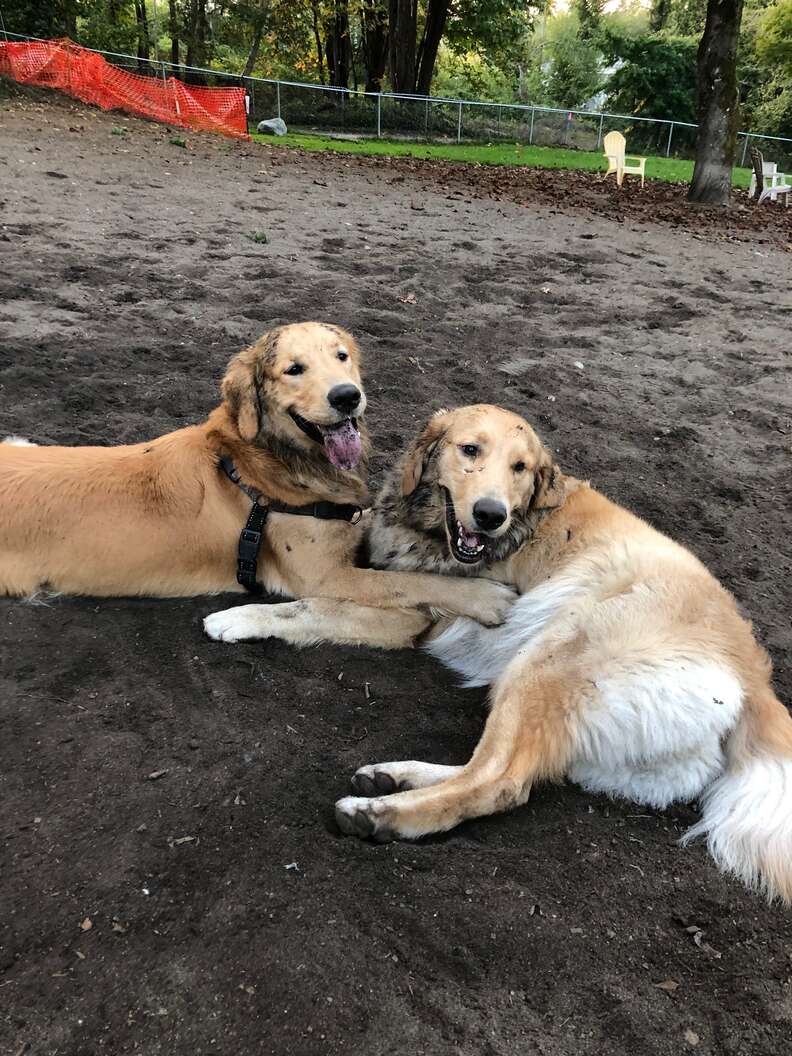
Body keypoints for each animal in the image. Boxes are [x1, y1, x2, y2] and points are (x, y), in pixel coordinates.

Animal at [0, 321, 515, 629]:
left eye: (342, 356)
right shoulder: (326, 576)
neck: (268, 460)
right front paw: (485, 597)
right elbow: (412, 583)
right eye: (294, 369)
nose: (347, 397)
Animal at [209, 401, 792, 899]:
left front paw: (236, 617)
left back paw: (381, 814)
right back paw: (393, 778)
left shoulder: (411, 617)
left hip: (547, 662)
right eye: (469, 450)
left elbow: (312, 606)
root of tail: (754, 679)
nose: (490, 514)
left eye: (520, 468)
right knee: (493, 767)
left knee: (500, 783)